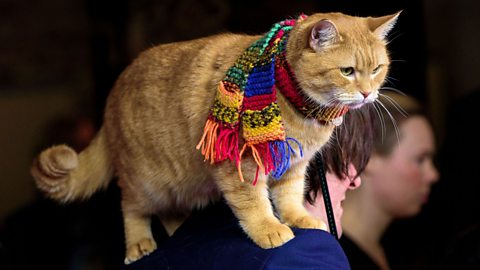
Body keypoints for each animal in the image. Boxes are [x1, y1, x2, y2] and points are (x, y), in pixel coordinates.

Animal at [29, 11, 398, 262]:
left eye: (377, 69)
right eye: (347, 71)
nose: (367, 94)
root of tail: (111, 96)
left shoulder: (294, 166)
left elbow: (289, 199)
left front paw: (300, 220)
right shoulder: (242, 165)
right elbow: (255, 204)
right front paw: (269, 229)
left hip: (180, 186)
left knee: (171, 214)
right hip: (146, 182)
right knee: (131, 207)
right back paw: (138, 244)